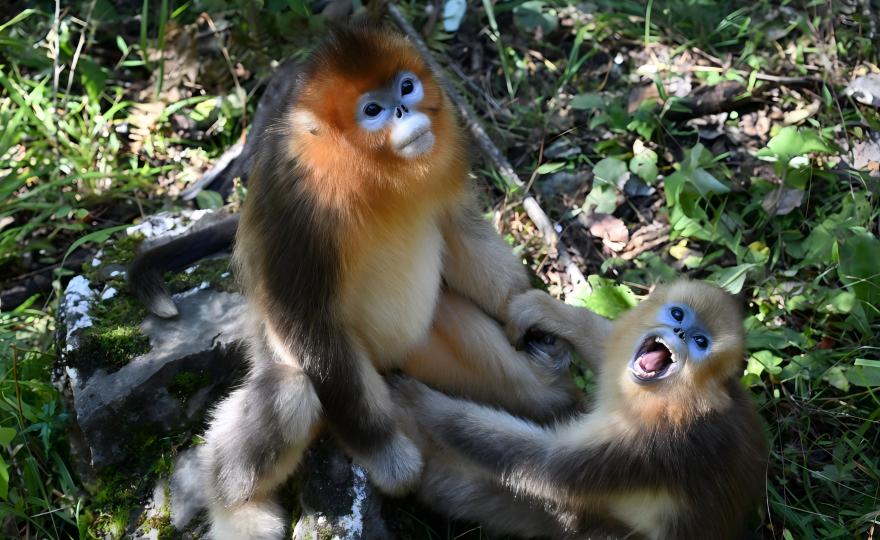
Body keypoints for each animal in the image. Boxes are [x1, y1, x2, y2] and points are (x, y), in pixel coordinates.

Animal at [195, 26, 583, 540]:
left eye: (406, 87)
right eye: (372, 111)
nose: (402, 109)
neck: (369, 170)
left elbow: (462, 232)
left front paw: (529, 310)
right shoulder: (299, 207)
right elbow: (306, 321)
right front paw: (391, 462)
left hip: (422, 346)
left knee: (511, 375)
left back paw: (545, 385)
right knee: (294, 389)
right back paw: (235, 511)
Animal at [391, 279, 768, 540]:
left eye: (701, 343)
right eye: (678, 314)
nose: (680, 331)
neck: (674, 397)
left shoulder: (652, 441)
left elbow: (544, 465)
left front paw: (417, 400)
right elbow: (607, 344)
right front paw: (543, 309)